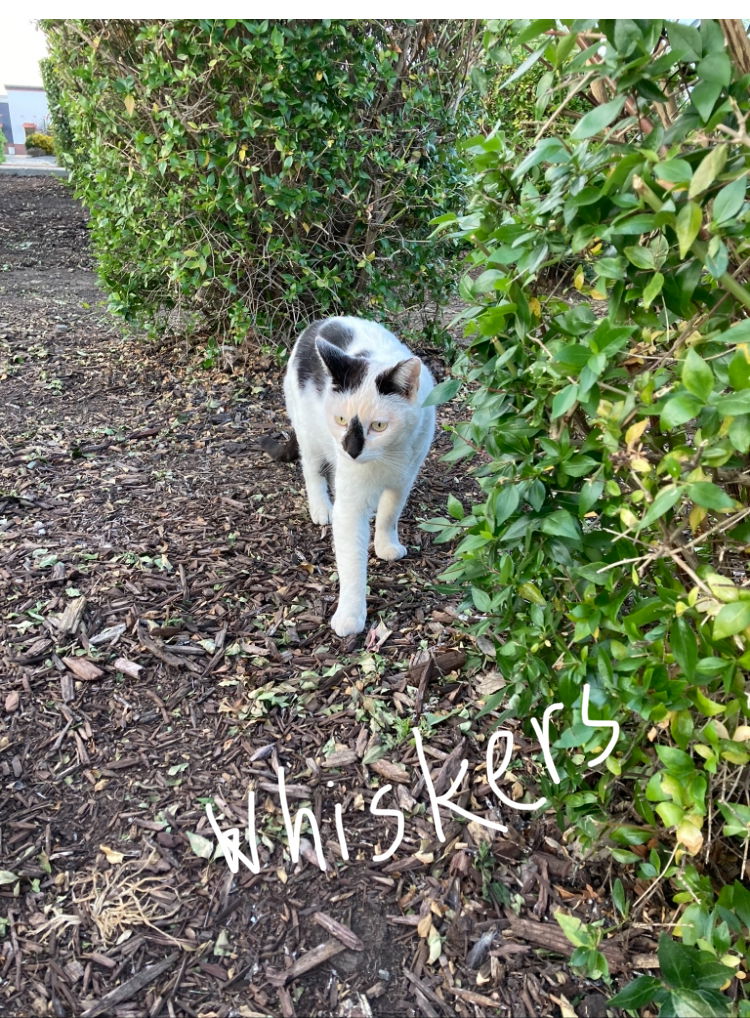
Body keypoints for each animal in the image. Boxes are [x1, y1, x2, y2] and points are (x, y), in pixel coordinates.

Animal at [262, 317, 433, 635]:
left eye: (379, 426)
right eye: (341, 420)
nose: (351, 449)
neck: (387, 457)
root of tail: (321, 321)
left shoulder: (404, 479)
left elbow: (389, 514)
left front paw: (385, 545)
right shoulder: (351, 505)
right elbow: (352, 562)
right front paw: (351, 615)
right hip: (310, 435)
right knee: (312, 470)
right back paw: (320, 507)